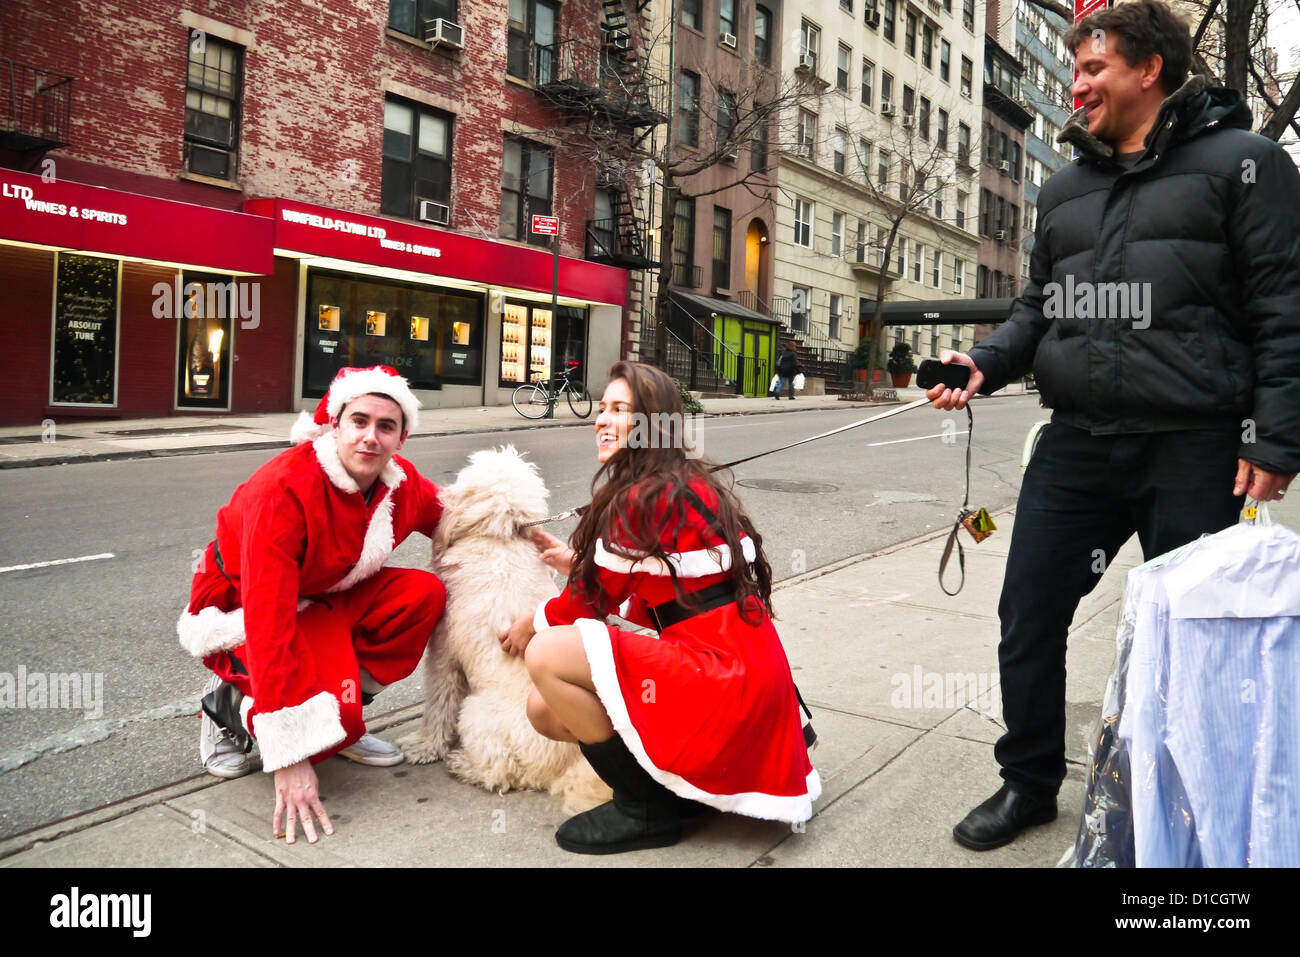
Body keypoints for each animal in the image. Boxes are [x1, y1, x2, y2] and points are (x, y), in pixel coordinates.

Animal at [400, 444, 608, 811]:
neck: (500, 540)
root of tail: (570, 762)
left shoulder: (443, 655)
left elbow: (438, 704)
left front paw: (424, 746)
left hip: (475, 712)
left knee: (502, 773)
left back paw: (463, 765)